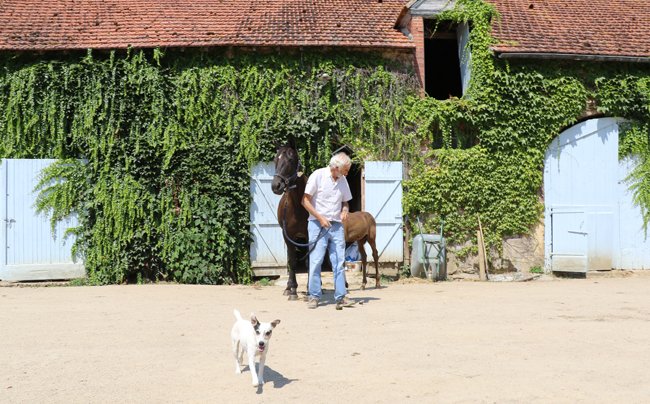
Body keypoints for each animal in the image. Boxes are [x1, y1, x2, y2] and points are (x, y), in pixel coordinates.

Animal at [271, 145, 381, 300]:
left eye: (291, 159)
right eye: (275, 159)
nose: (276, 186)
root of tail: (369, 215)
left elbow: (329, 260)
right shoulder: (289, 236)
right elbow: (294, 260)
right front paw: (292, 289)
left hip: (370, 238)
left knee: (375, 254)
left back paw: (377, 283)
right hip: (360, 241)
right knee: (364, 257)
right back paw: (363, 284)